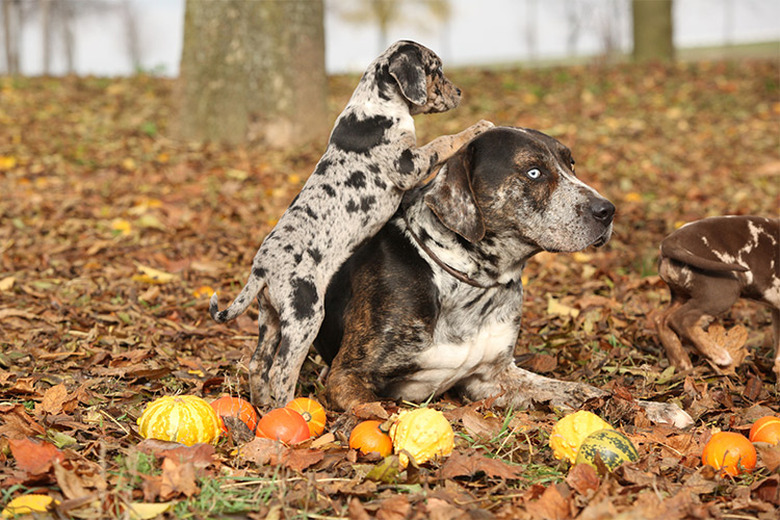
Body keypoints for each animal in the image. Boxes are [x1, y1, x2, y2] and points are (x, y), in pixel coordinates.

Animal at [207, 39, 488, 406]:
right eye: (435, 69)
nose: (459, 92)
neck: (375, 105)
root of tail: (261, 269)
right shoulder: (407, 164)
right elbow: (443, 142)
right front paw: (477, 128)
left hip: (270, 317)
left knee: (258, 364)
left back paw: (262, 407)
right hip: (305, 315)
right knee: (281, 371)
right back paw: (290, 410)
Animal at [316, 126, 696, 426]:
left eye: (571, 164)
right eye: (534, 172)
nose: (607, 210)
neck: (471, 280)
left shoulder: (494, 377)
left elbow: (584, 391)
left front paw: (654, 409)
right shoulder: (348, 375)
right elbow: (384, 411)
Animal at [660, 215, 780, 378]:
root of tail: (670, 241)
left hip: (682, 295)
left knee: (662, 320)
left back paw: (681, 362)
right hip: (721, 293)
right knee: (681, 319)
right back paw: (718, 354)